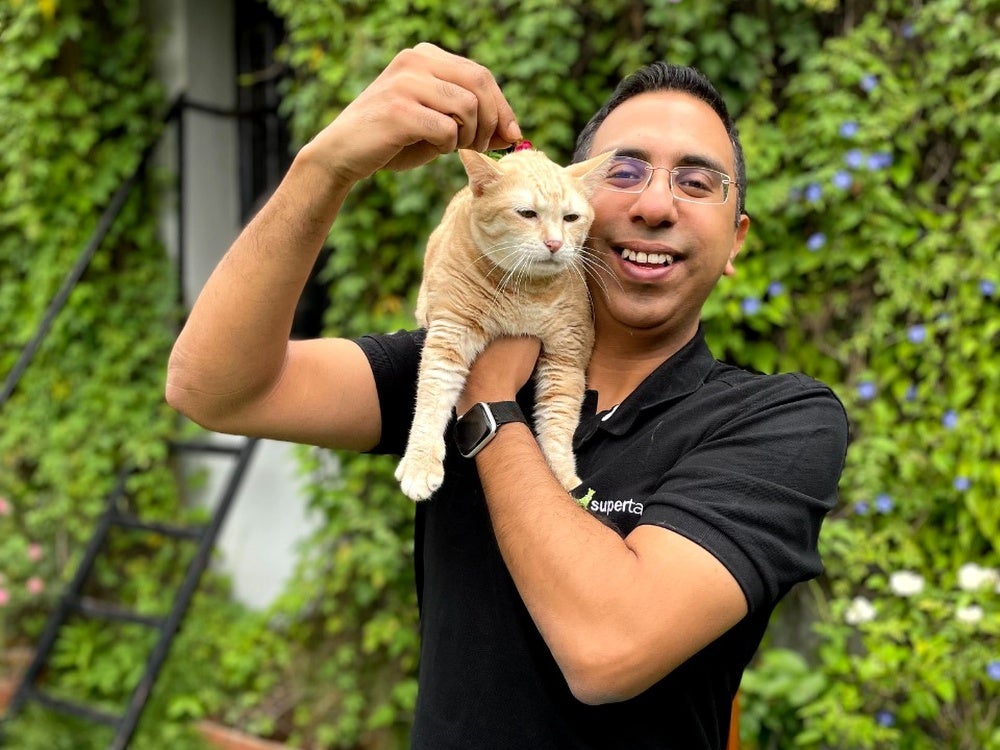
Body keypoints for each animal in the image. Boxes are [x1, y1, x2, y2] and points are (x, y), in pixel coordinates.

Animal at [394, 145, 612, 506]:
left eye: (570, 218)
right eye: (527, 214)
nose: (555, 243)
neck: (526, 292)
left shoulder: (566, 359)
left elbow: (557, 426)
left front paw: (563, 481)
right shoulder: (450, 333)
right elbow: (432, 397)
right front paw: (420, 463)